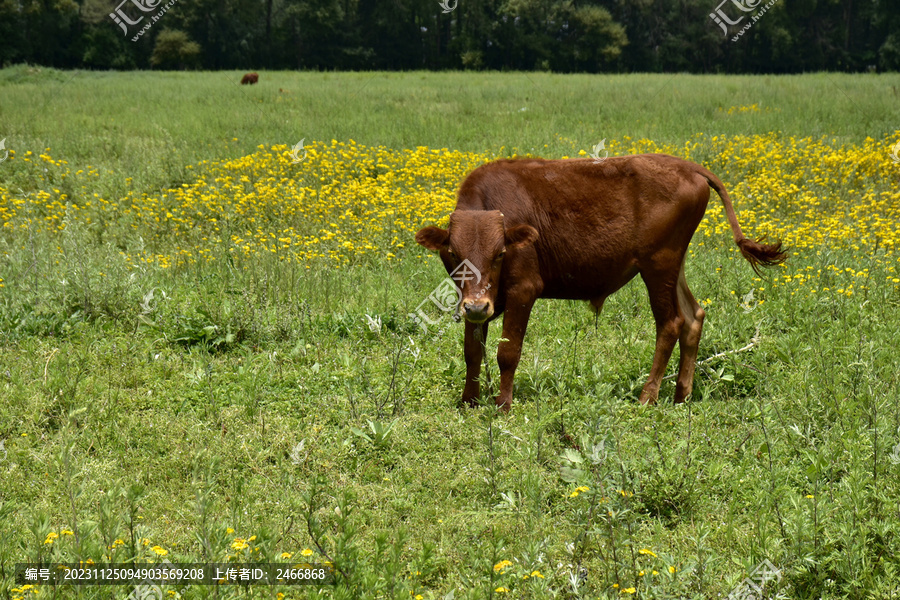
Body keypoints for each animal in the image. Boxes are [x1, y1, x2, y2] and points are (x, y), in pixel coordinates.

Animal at [418, 154, 784, 412]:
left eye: (500, 253)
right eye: (454, 253)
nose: (478, 305)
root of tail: (687, 166)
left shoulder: (523, 290)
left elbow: (507, 351)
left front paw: (503, 404)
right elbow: (472, 351)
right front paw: (468, 400)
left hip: (658, 267)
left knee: (671, 323)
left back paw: (648, 396)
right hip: (673, 267)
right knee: (694, 316)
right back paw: (682, 394)